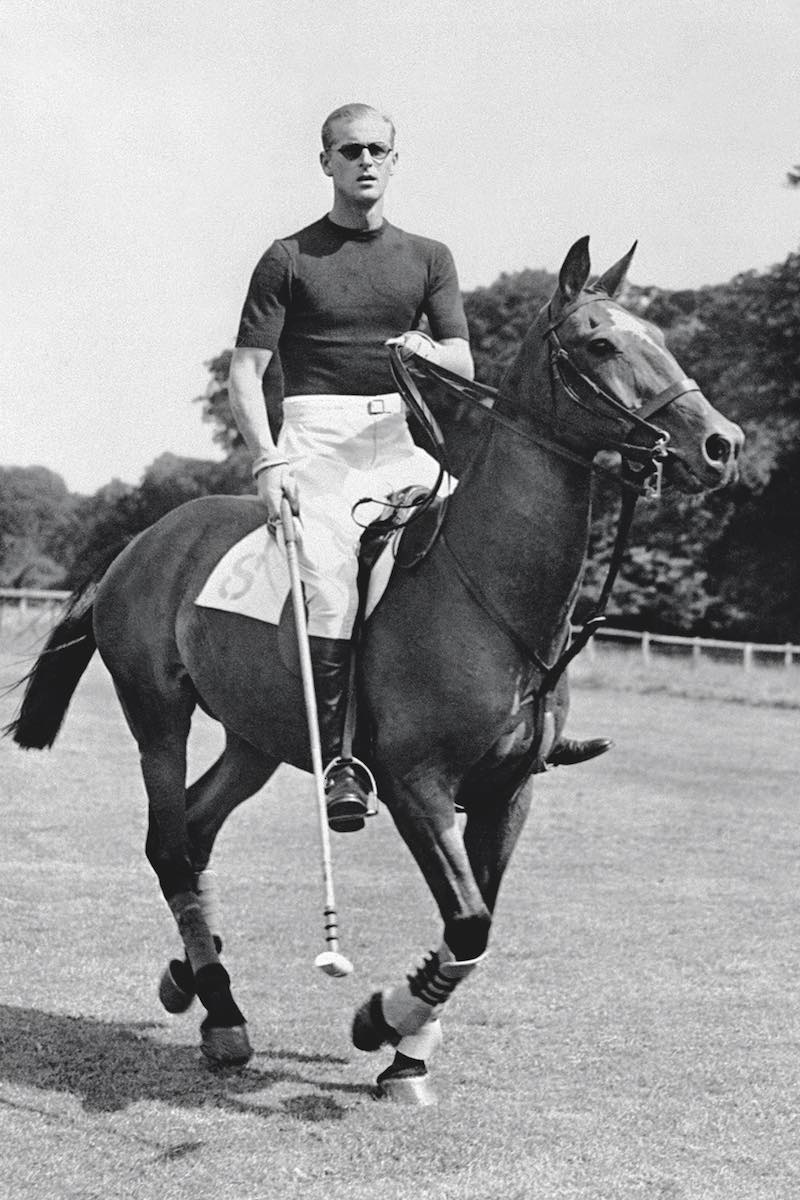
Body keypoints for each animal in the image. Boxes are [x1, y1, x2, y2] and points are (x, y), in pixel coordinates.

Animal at [7, 241, 743, 1104]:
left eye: (658, 333)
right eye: (599, 343)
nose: (722, 445)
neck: (489, 591)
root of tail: (140, 542)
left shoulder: (509, 792)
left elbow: (474, 923)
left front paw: (409, 1052)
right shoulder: (415, 783)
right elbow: (468, 921)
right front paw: (377, 1021)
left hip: (259, 736)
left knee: (194, 828)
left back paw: (190, 979)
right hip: (157, 716)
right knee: (169, 844)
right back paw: (222, 1012)